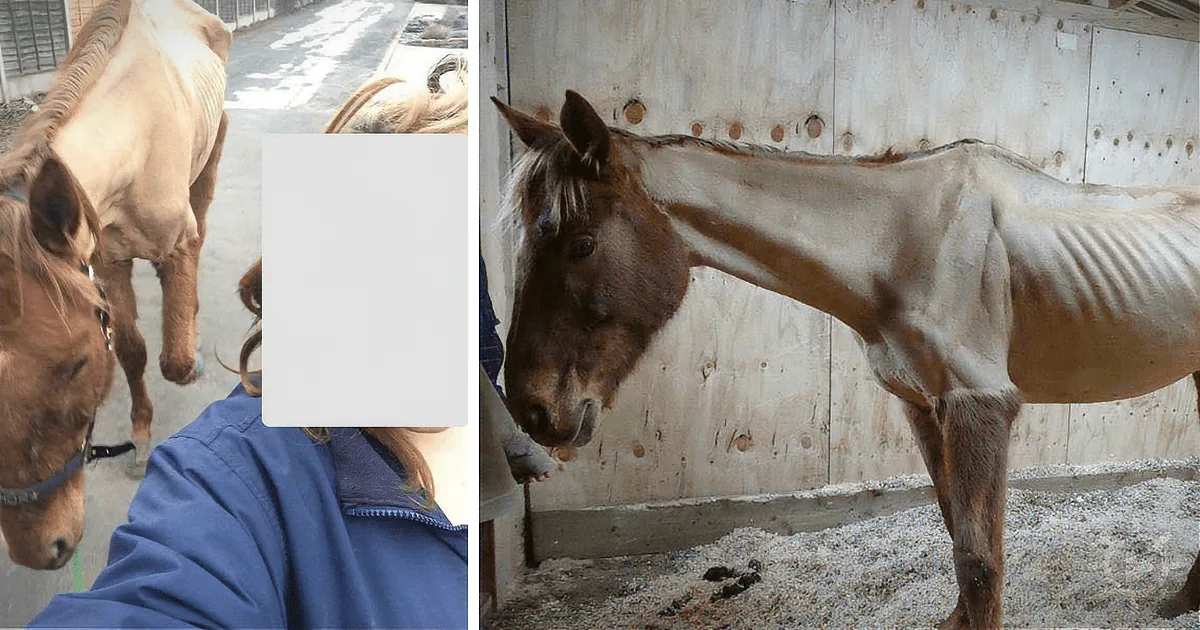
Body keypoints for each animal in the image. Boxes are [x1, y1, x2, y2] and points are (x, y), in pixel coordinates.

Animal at [0, 0, 229, 571]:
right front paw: (141, 434)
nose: (41, 550)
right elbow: (131, 351)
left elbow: (172, 359)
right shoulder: (104, 265)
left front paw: (190, 352)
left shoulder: (175, 244)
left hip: (211, 156)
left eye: (78, 364)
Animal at [490, 90, 1200, 629]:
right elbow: (957, 534)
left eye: (581, 244)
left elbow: (980, 561)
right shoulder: (923, 406)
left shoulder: (980, 406)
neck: (906, 241)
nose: (532, 409)